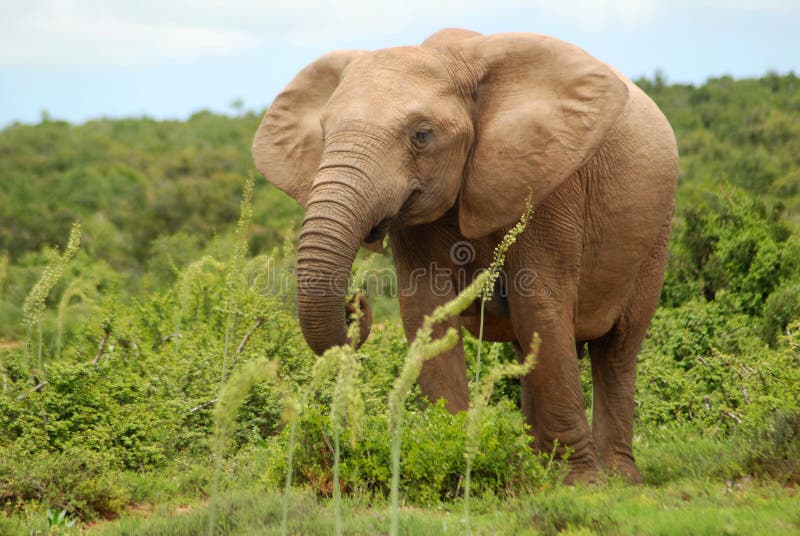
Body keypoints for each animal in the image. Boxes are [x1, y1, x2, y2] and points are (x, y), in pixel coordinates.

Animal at [253, 27, 680, 484]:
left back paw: (619, 478)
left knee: (617, 349)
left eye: (421, 135)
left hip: (657, 230)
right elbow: (427, 313)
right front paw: (457, 459)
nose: (355, 303)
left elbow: (541, 307)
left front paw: (582, 485)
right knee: (527, 347)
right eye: (323, 133)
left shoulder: (550, 183)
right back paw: (537, 466)